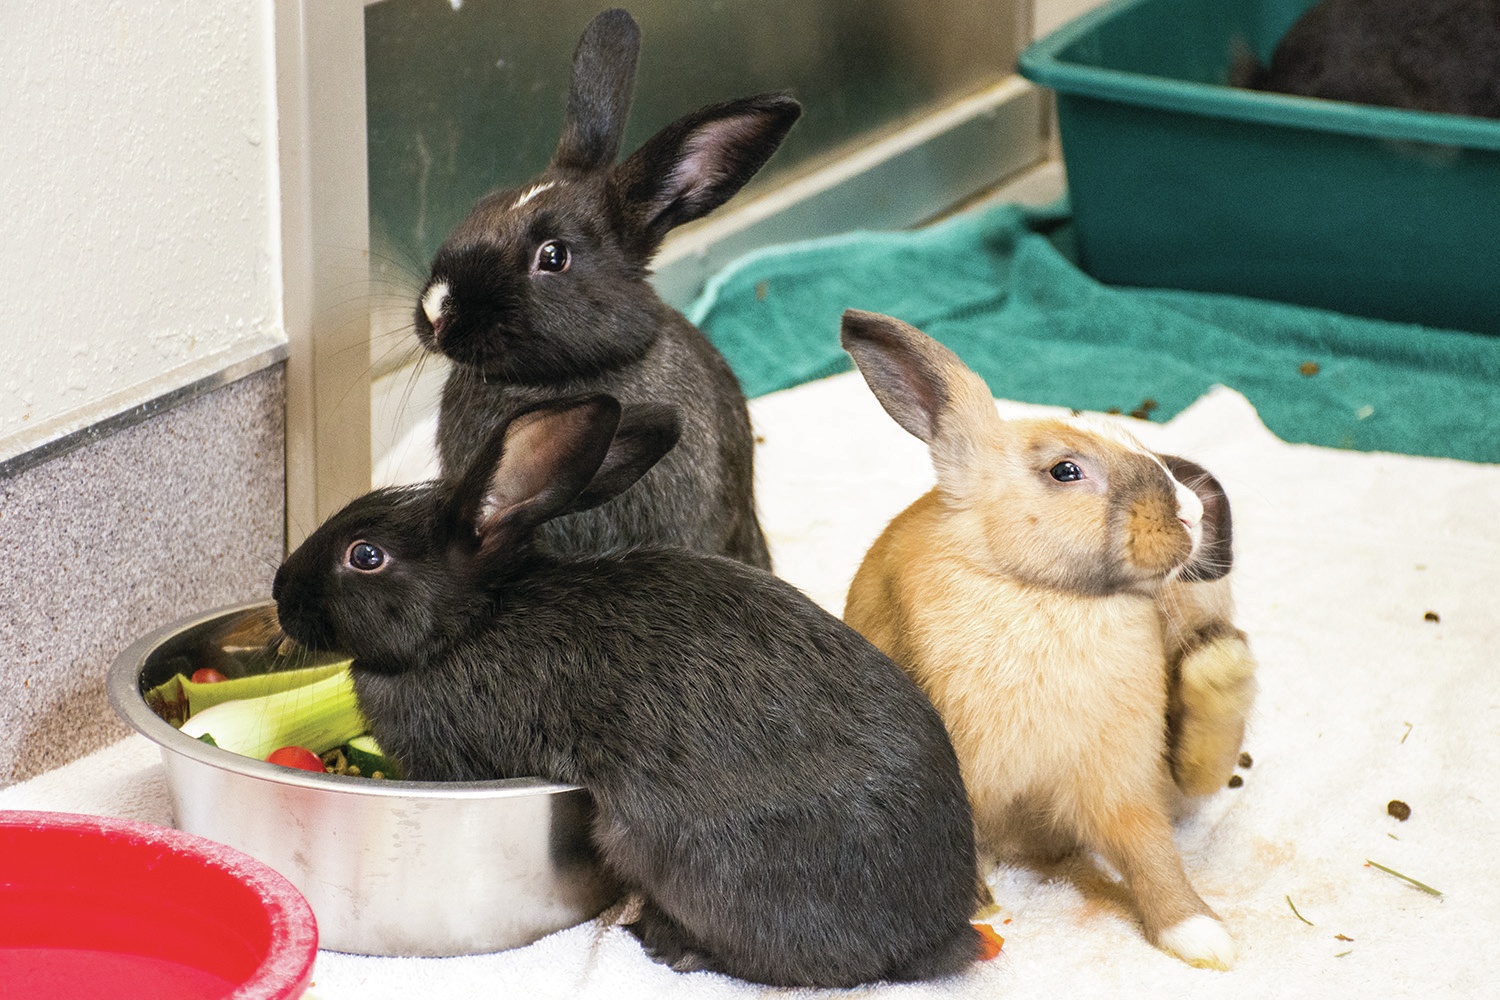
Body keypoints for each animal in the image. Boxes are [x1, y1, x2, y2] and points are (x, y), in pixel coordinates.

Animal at [273, 395, 984, 989]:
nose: (281, 592)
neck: (470, 622)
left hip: (682, 857)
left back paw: (663, 939)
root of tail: (936, 936)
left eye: (366, 556)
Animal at [846, 310, 1254, 971]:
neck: (1041, 592)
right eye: (1066, 470)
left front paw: (1201, 937)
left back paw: (1222, 666)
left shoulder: (1119, 782)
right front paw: (978, 908)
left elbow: (1152, 854)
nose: (1194, 512)